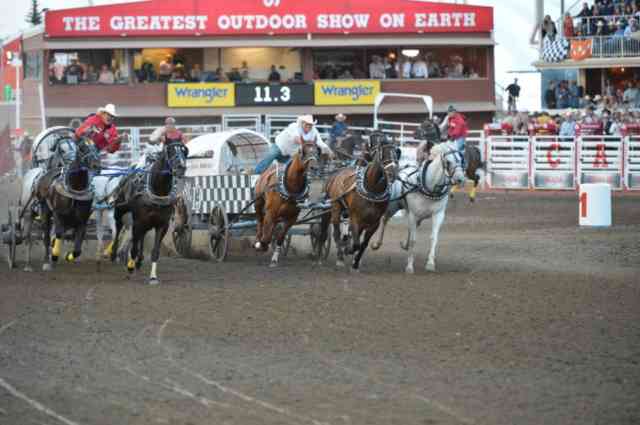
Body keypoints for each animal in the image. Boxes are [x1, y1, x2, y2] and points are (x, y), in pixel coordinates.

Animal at [21, 136, 100, 270]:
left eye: (95, 146)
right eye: (82, 148)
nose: (96, 164)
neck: (75, 190)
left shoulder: (82, 220)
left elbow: (77, 249)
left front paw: (68, 256)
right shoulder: (58, 214)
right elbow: (56, 234)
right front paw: (54, 256)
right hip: (34, 213)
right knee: (35, 237)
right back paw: (34, 263)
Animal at [110, 140, 188, 284]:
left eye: (185, 151)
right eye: (170, 151)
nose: (181, 167)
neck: (157, 190)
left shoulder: (162, 225)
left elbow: (155, 251)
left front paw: (153, 277)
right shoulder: (137, 222)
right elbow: (134, 248)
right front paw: (130, 269)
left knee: (141, 236)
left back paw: (139, 261)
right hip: (120, 209)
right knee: (118, 227)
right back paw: (114, 254)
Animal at [316, 131, 396, 272]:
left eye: (397, 152)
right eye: (382, 153)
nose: (393, 173)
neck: (372, 189)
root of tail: (335, 174)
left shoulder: (374, 223)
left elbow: (363, 244)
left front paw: (356, 263)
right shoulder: (355, 217)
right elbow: (356, 243)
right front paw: (348, 250)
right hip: (334, 209)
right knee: (332, 233)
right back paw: (335, 257)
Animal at [370, 141, 464, 274]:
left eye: (461, 159)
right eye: (448, 161)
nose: (460, 179)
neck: (429, 186)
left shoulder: (438, 214)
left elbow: (433, 238)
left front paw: (430, 263)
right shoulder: (413, 214)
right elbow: (414, 240)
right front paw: (409, 267)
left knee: (411, 228)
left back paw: (404, 244)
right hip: (393, 207)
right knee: (385, 220)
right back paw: (377, 244)